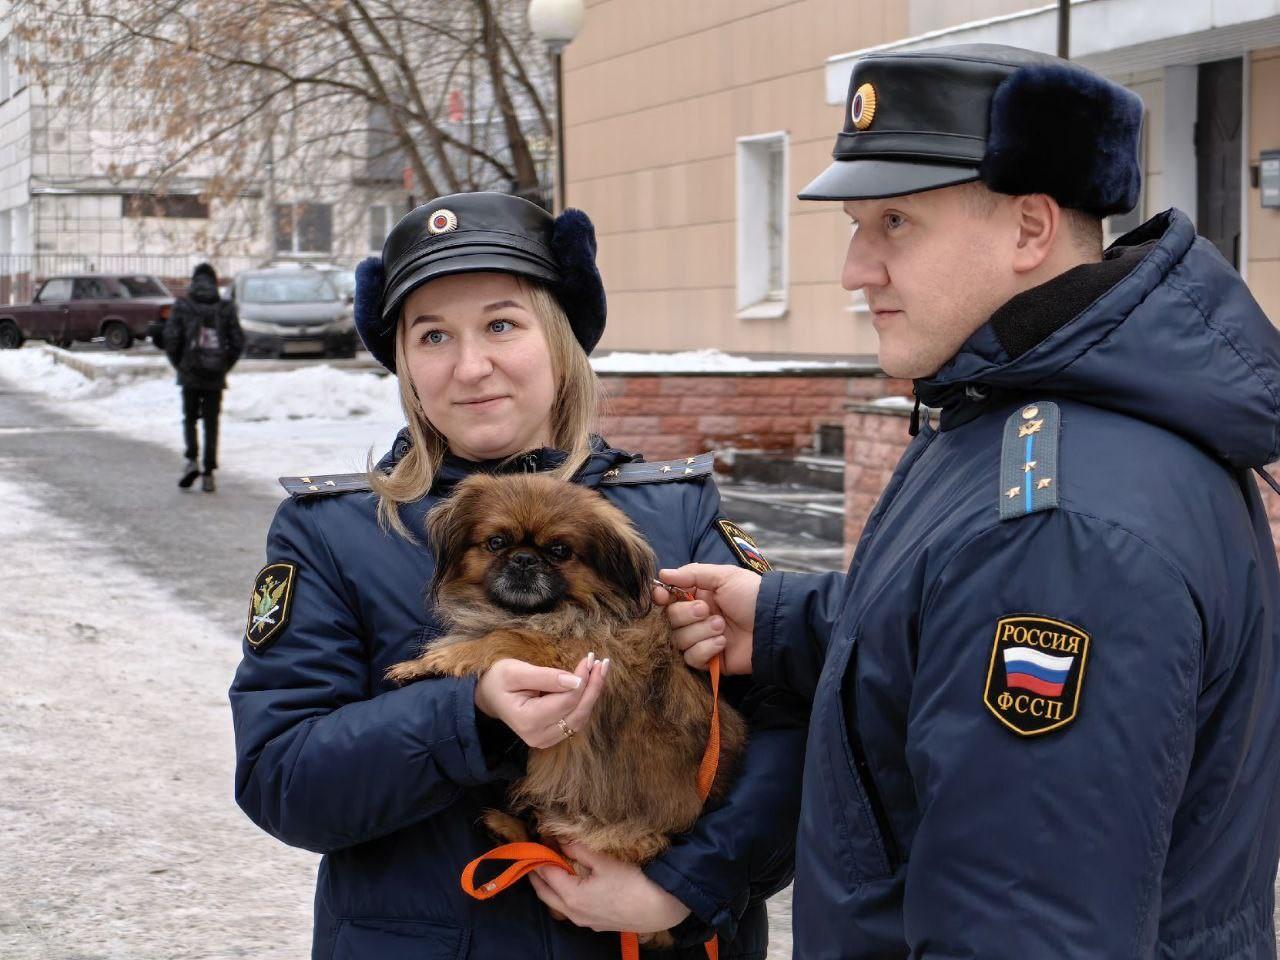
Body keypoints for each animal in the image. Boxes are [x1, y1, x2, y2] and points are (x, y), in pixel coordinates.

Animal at [384, 476, 747, 911]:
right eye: (496, 542)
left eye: (560, 551)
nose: (524, 559)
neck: (539, 611)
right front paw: (421, 664)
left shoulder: (565, 654)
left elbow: (499, 638)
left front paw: (438, 658)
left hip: (599, 833)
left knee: (557, 854)